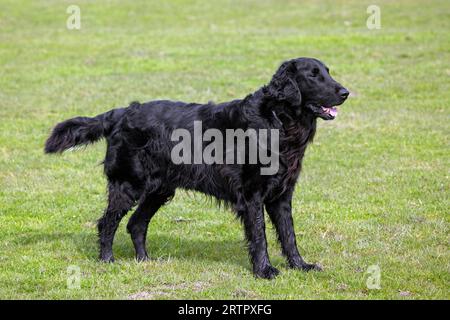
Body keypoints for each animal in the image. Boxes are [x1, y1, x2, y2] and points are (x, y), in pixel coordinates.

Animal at [44, 57, 348, 278]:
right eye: (313, 75)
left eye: (327, 72)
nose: (346, 92)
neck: (278, 121)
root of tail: (120, 112)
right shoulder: (252, 196)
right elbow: (260, 236)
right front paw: (264, 270)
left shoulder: (281, 196)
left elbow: (288, 235)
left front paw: (300, 265)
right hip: (129, 184)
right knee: (107, 223)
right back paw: (107, 260)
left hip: (160, 190)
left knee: (136, 223)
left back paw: (144, 260)